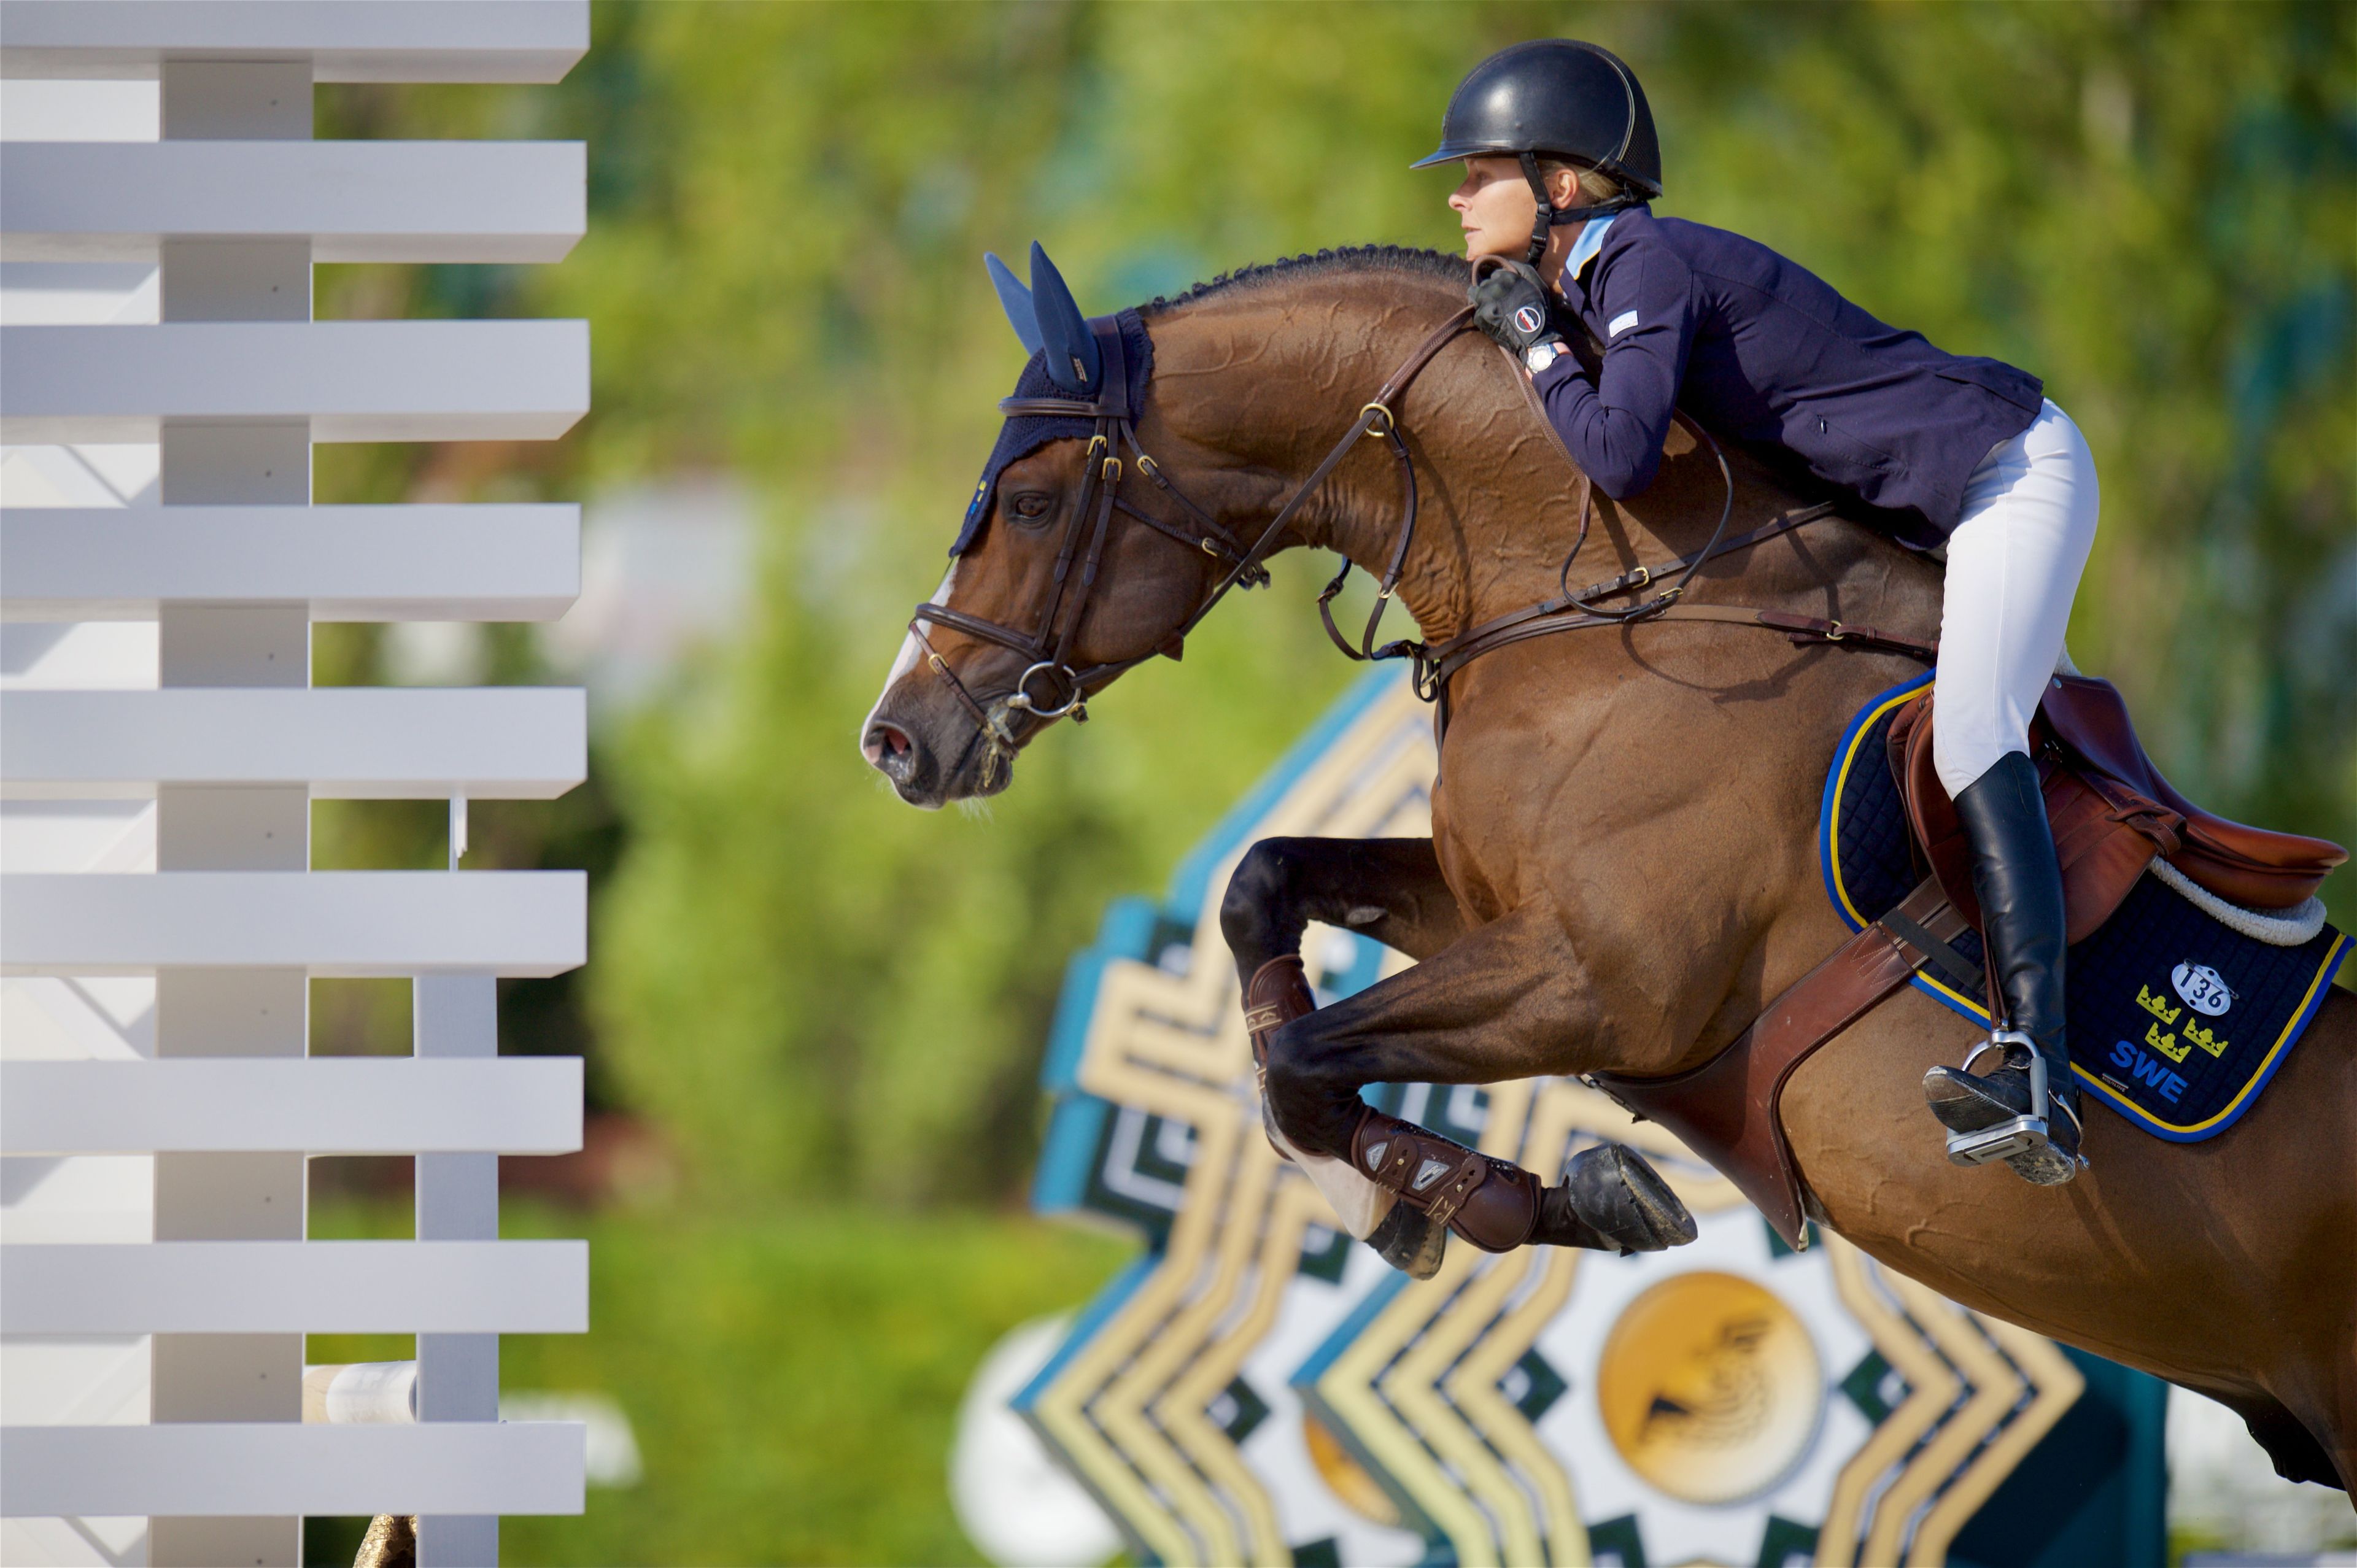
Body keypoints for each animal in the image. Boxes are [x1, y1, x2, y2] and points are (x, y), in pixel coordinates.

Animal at [861, 245, 2357, 1493]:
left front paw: (1468, 1192)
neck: (1607, 602)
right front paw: (1426, 1189)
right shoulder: (1490, 910)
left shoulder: (1605, 986)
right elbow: (1265, 897)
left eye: (1032, 502)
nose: (897, 739)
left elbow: (1300, 1063)